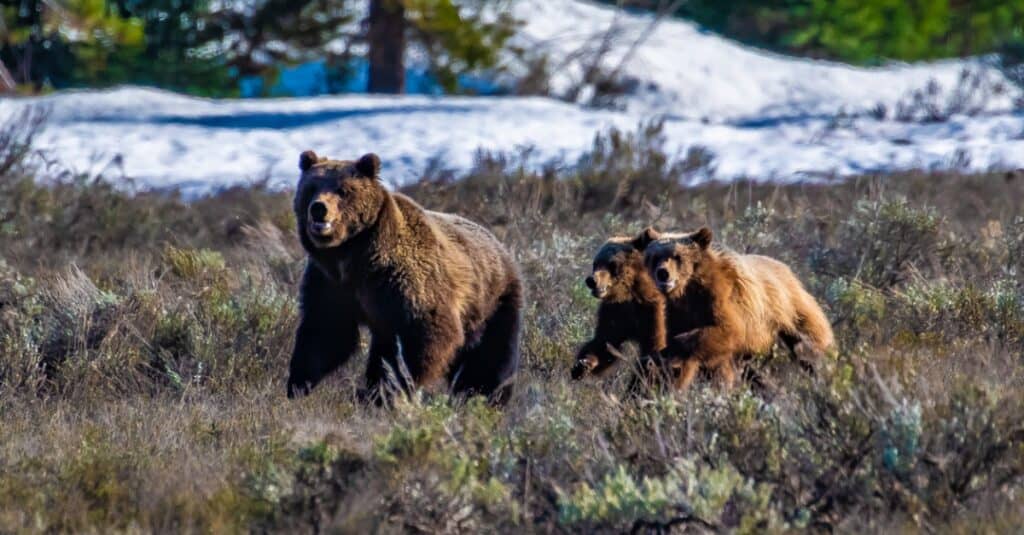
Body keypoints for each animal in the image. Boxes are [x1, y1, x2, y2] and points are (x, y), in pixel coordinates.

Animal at [286, 150, 523, 404]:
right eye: (311, 187)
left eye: (343, 190)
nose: (319, 208)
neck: (353, 256)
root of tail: (500, 246)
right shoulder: (331, 283)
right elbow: (326, 333)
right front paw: (297, 385)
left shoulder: (404, 282)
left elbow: (427, 333)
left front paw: (388, 389)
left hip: (492, 303)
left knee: (490, 358)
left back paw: (485, 396)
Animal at [570, 235, 667, 382]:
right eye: (595, 263)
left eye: (612, 264)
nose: (591, 280)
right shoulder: (616, 312)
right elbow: (605, 343)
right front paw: (582, 365)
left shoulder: (653, 312)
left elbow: (653, 349)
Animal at [636, 226, 835, 391]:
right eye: (655, 257)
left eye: (677, 256)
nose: (663, 273)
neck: (689, 289)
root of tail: (788, 269)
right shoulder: (678, 313)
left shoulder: (723, 300)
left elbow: (727, 329)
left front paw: (666, 354)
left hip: (790, 311)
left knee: (809, 344)